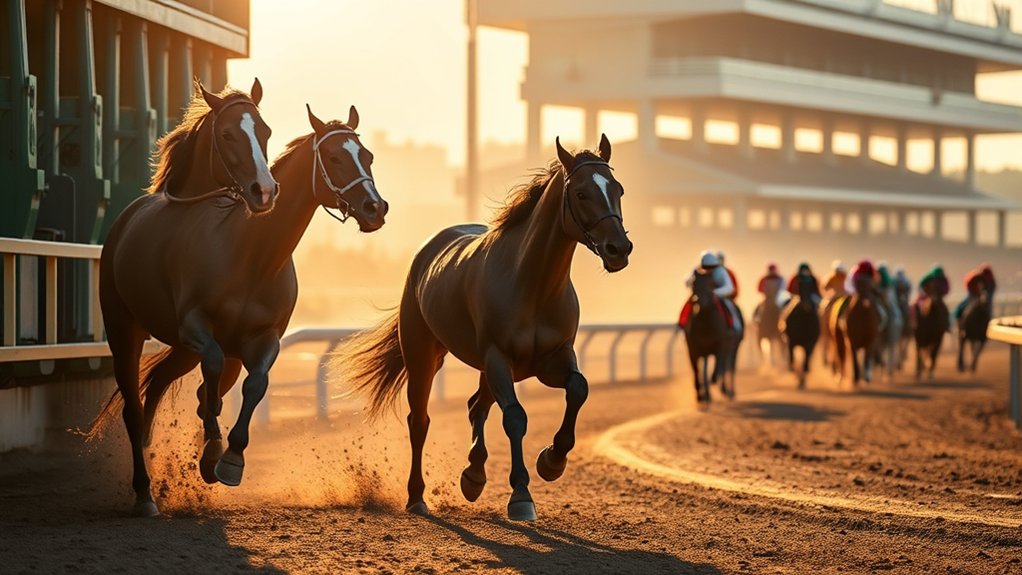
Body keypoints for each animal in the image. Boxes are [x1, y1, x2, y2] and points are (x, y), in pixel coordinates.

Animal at [90, 88, 388, 516]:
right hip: (124, 329)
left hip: (184, 352)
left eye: (367, 156)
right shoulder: (196, 327)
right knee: (133, 404)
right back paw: (145, 493)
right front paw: (214, 450)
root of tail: (123, 222)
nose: (374, 208)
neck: (252, 256)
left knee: (162, 385)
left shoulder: (263, 338)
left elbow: (253, 385)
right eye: (334, 157)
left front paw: (228, 460)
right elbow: (212, 380)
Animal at [332, 136, 631, 522]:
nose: (619, 248)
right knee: (420, 420)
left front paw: (552, 460)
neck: (532, 283)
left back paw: (473, 475)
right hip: (424, 355)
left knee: (477, 406)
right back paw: (417, 496)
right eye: (581, 193)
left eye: (617, 189)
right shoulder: (499, 359)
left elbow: (578, 389)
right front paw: (521, 495)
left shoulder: (551, 359)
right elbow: (515, 417)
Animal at [685, 271, 738, 403]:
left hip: (732, 347)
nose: (699, 301)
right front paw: (700, 394)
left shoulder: (720, 344)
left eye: (710, 284)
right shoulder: (693, 349)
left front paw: (713, 380)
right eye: (694, 283)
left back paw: (726, 390)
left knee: (726, 366)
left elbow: (718, 365)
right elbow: (697, 370)